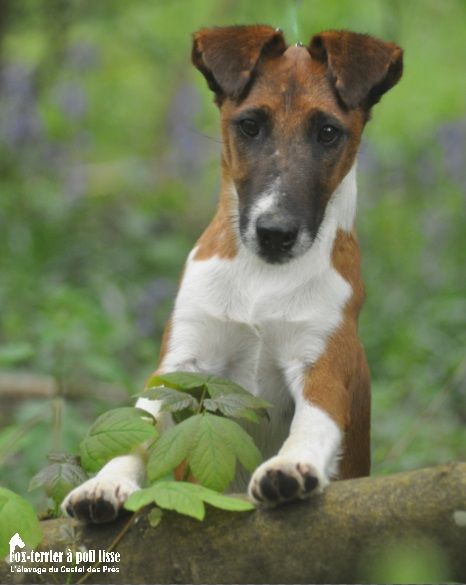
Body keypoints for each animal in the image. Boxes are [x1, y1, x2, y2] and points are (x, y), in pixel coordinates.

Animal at [62, 25, 404, 524]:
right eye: (249, 126)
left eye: (327, 132)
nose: (275, 232)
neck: (261, 280)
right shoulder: (180, 365)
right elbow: (142, 422)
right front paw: (107, 481)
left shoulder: (323, 363)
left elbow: (312, 423)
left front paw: (289, 466)